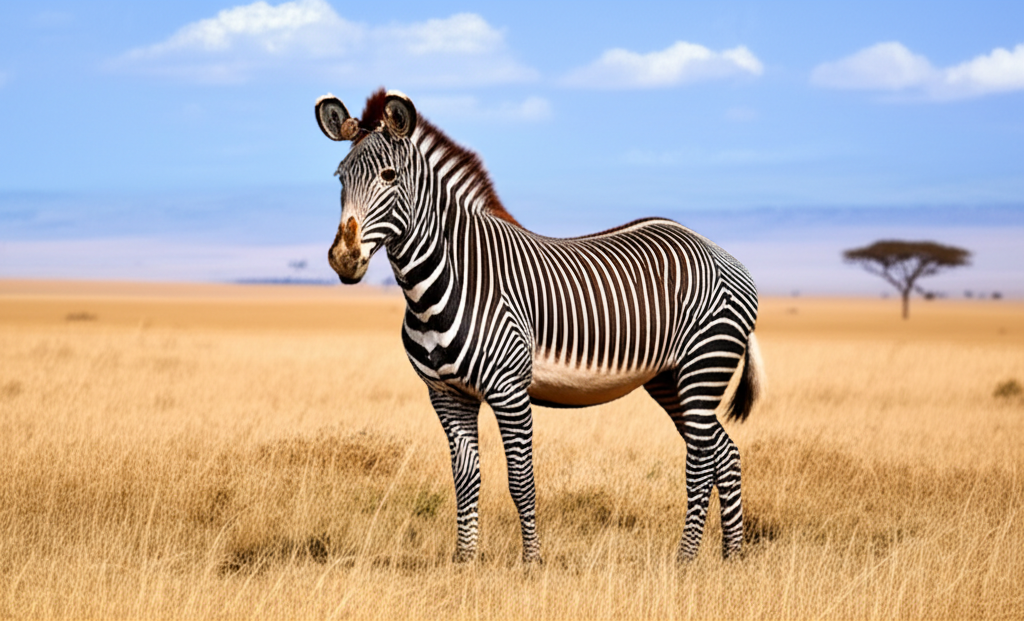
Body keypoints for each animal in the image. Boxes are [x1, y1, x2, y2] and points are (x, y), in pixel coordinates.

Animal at [314, 88, 764, 564]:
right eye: (340, 178)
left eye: (389, 176)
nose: (344, 258)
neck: (438, 286)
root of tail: (714, 248)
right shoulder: (447, 396)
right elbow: (466, 481)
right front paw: (463, 561)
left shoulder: (509, 391)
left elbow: (520, 482)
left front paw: (531, 562)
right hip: (669, 378)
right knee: (725, 454)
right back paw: (731, 556)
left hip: (704, 366)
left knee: (701, 462)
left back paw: (685, 561)